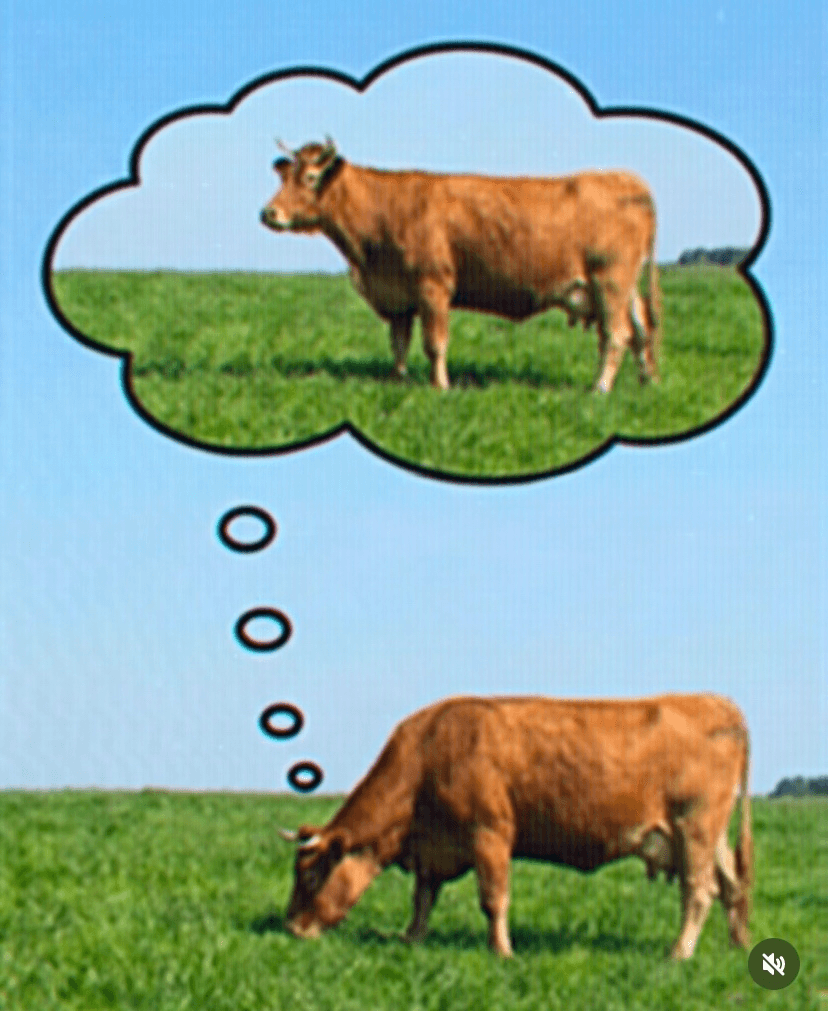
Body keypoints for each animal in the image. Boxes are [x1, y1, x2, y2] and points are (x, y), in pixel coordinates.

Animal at [260, 139, 661, 394]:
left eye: (310, 178)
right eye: (284, 177)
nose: (269, 213)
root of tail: (624, 177)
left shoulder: (433, 285)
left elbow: (434, 343)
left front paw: (440, 386)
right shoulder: (398, 295)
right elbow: (399, 344)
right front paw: (397, 381)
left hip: (610, 281)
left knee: (616, 335)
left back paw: (600, 388)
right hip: (623, 287)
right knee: (642, 329)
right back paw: (647, 382)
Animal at [279, 694, 752, 960]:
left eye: (312, 874)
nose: (292, 929)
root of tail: (712, 700)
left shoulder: (489, 834)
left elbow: (493, 899)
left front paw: (502, 952)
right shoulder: (434, 847)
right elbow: (423, 898)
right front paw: (411, 939)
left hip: (694, 829)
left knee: (699, 892)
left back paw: (679, 953)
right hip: (712, 836)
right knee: (732, 887)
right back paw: (739, 945)